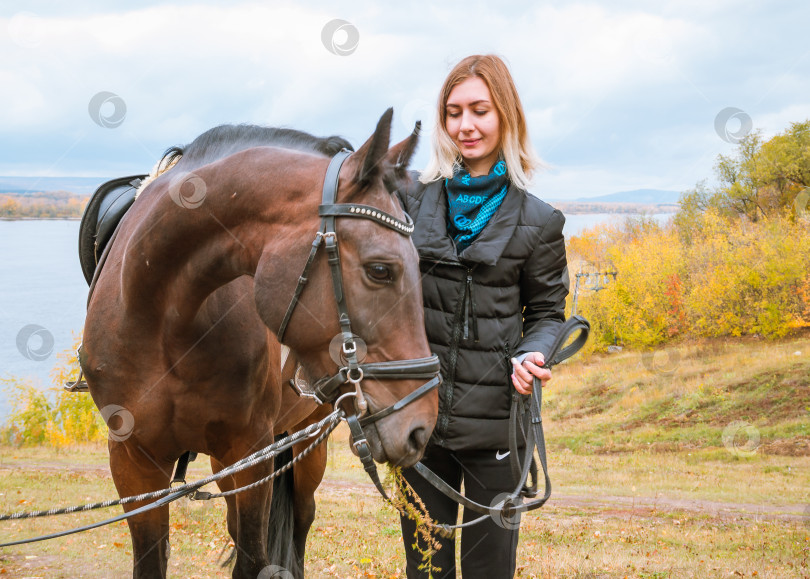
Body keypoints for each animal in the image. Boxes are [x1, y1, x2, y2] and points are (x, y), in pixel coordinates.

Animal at [80, 110, 436, 579]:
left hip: (305, 439)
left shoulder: (252, 452)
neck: (162, 319)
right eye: (381, 270)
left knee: (301, 520)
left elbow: (254, 556)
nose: (420, 426)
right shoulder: (133, 461)